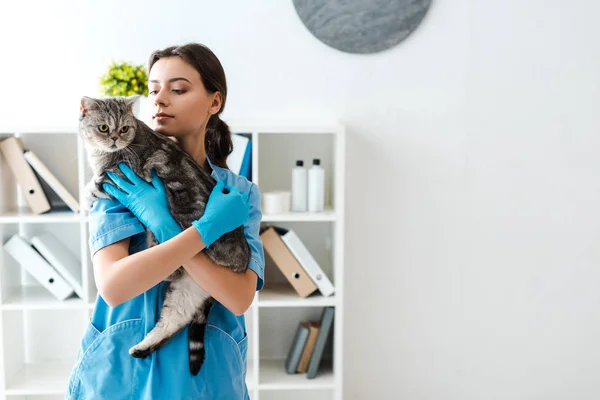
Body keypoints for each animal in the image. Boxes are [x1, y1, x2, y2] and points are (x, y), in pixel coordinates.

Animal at [78, 94, 251, 376]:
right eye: (104, 128)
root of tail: (243, 260)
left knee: (174, 257)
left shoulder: (115, 176)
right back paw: (141, 349)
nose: (114, 138)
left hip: (185, 220)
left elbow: (92, 186)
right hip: (186, 292)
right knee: (174, 320)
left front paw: (83, 200)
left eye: (123, 129)